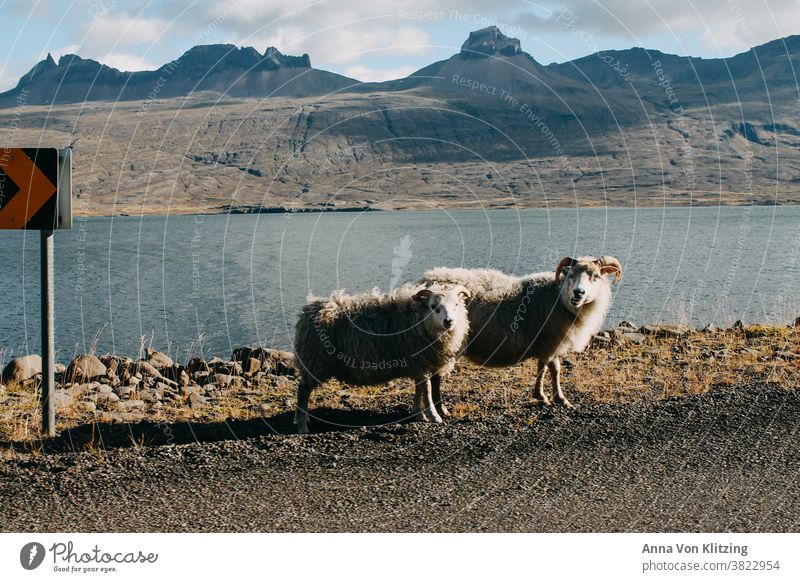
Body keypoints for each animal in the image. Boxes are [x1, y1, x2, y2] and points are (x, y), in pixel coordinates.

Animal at [292, 282, 468, 434]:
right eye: (433, 307)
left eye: (456, 305)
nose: (448, 321)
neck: (418, 318)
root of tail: (309, 310)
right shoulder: (420, 361)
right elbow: (427, 389)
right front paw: (433, 415)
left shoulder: (418, 364)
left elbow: (420, 389)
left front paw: (419, 414)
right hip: (314, 360)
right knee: (303, 390)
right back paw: (302, 424)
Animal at [422, 258, 620, 412]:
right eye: (571, 275)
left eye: (595, 276)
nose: (578, 293)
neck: (559, 298)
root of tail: (427, 278)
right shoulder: (550, 342)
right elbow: (552, 369)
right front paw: (554, 398)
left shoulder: (547, 343)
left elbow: (546, 368)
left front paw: (547, 396)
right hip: (447, 340)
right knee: (436, 376)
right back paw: (441, 408)